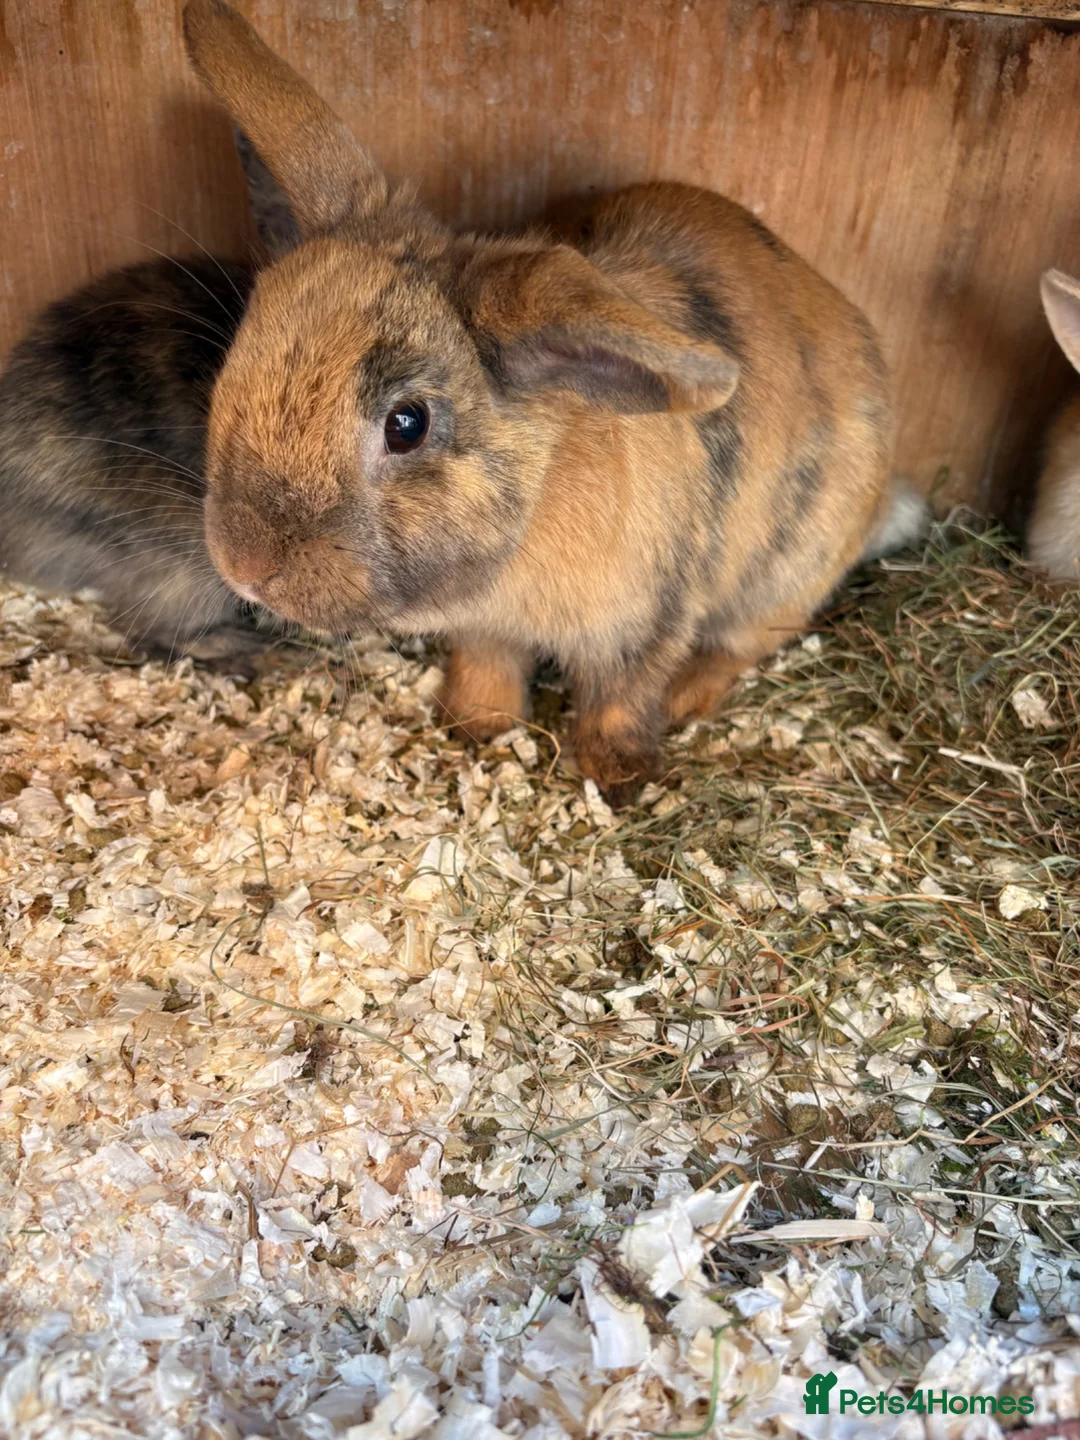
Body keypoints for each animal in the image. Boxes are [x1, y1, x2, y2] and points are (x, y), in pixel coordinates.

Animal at [180, 0, 918, 803]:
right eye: (237, 356)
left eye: (407, 425)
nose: (244, 565)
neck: (533, 513)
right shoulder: (486, 626)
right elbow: (490, 667)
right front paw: (476, 728)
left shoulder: (646, 617)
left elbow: (622, 696)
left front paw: (617, 776)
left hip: (785, 578)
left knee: (741, 647)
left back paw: (687, 699)